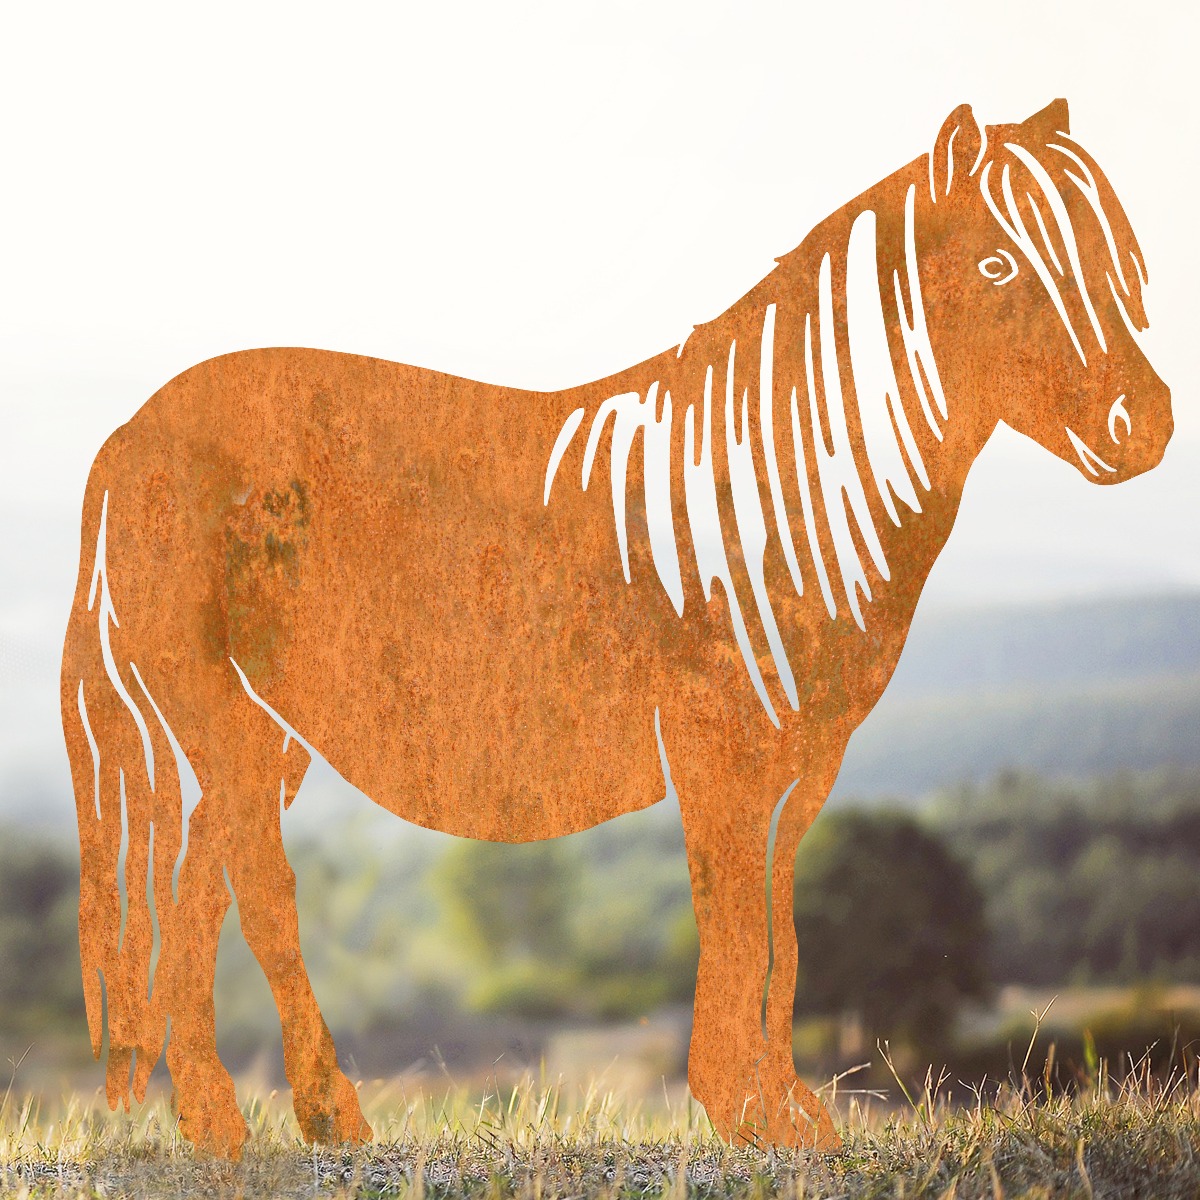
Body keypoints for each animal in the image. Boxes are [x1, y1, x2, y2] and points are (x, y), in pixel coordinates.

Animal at [60, 98, 1172, 1157]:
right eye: (996, 266)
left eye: (1121, 260)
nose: (1147, 426)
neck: (782, 496)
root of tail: (125, 433)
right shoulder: (721, 744)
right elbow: (735, 921)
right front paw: (742, 1112)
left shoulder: (806, 757)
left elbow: (781, 927)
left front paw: (791, 1115)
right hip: (213, 703)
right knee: (260, 885)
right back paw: (328, 1116)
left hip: (262, 727)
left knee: (202, 885)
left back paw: (219, 1125)